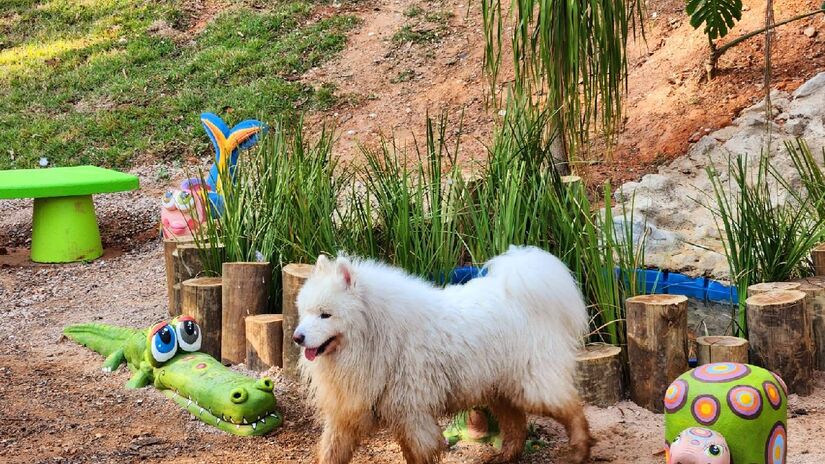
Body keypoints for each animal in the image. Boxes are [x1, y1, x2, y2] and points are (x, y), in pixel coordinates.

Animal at [296, 245, 592, 462]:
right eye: (306, 312)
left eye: (325, 314)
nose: (298, 337)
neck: (376, 334)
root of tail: (522, 295)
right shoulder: (347, 414)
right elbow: (331, 453)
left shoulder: (412, 414)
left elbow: (418, 455)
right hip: (500, 388)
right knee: (517, 424)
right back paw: (505, 457)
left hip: (532, 387)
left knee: (573, 410)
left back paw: (580, 451)